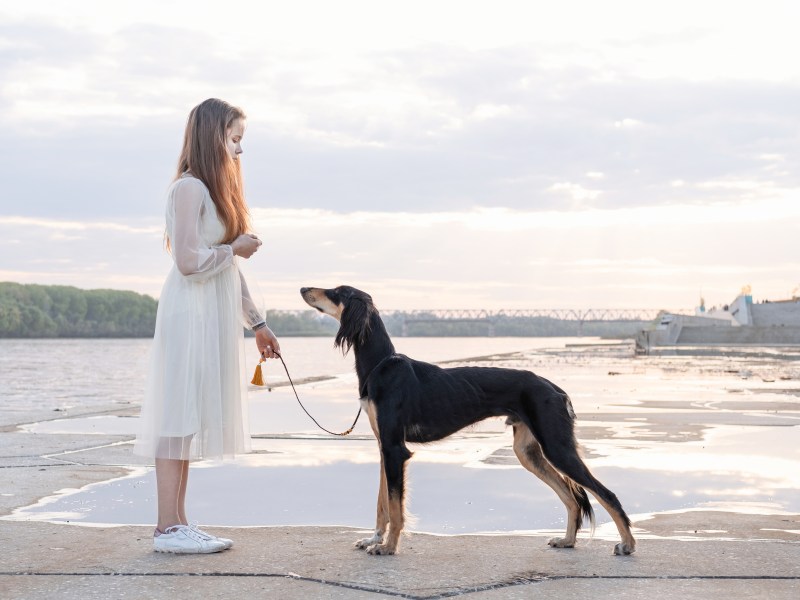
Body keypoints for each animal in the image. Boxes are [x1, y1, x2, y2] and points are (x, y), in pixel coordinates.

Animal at [300, 284, 636, 556]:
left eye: (337, 292)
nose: (303, 288)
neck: (381, 364)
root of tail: (555, 389)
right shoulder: (385, 447)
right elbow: (382, 502)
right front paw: (374, 540)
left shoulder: (395, 449)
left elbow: (395, 507)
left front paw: (389, 547)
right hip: (527, 451)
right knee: (571, 497)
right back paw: (567, 541)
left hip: (556, 446)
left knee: (605, 494)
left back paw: (628, 544)